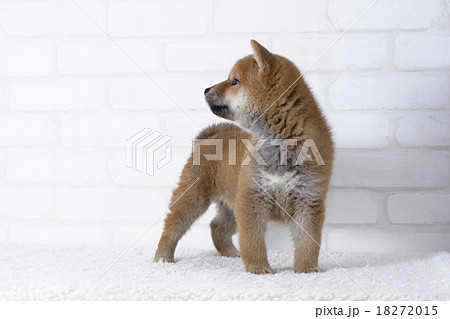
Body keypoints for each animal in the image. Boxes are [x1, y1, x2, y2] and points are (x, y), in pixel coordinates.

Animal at [155, 40, 334, 276]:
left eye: (235, 81)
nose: (206, 89)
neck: (281, 141)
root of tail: (212, 135)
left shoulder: (308, 200)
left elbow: (308, 242)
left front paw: (307, 269)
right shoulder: (252, 199)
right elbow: (253, 241)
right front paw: (259, 268)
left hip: (231, 203)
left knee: (217, 227)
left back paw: (230, 253)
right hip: (194, 197)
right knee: (173, 225)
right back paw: (162, 256)